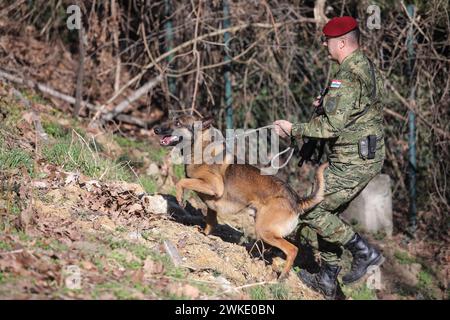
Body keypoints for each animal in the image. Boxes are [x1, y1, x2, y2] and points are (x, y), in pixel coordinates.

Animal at [155, 115, 326, 280]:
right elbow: (210, 223)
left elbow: (182, 182)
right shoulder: (211, 206)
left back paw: (282, 276)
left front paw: (180, 198)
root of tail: (296, 199)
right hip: (265, 229)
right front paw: (205, 234)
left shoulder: (214, 186)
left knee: (292, 249)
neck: (200, 149)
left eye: (178, 122)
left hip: (264, 230)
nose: (155, 129)